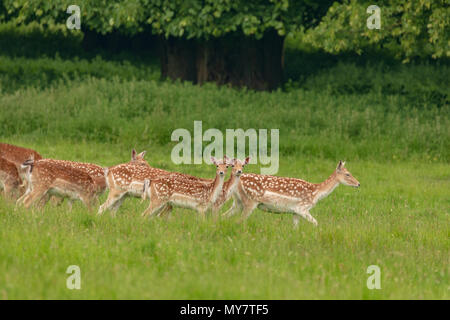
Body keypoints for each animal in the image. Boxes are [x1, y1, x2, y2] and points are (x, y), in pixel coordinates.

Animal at [223, 161, 360, 226]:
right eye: (348, 174)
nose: (358, 184)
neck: (316, 193)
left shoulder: (295, 212)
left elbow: (295, 228)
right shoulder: (302, 208)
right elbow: (316, 223)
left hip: (238, 202)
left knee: (224, 215)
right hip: (250, 201)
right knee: (239, 221)